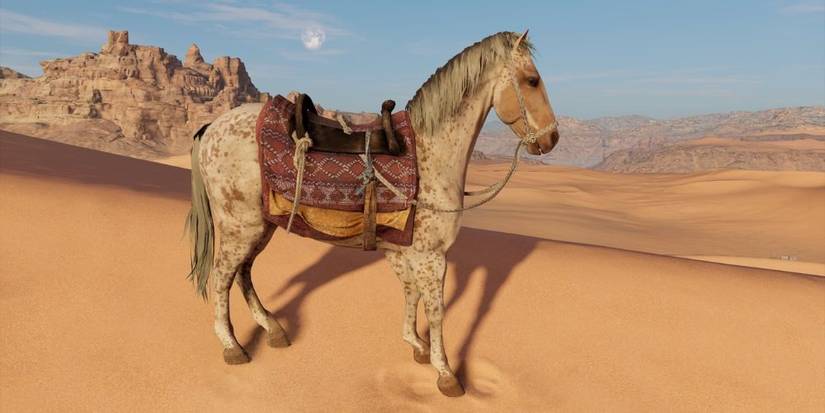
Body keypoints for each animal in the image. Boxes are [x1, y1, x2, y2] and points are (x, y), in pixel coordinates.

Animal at [186, 30, 559, 397]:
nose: (552, 138)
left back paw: (273, 329)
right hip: (239, 226)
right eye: (532, 80)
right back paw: (233, 346)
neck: (431, 150)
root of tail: (211, 128)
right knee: (222, 277)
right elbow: (436, 310)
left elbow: (410, 292)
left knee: (244, 273)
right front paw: (445, 373)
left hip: (261, 226)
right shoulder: (432, 255)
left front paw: (416, 345)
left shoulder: (403, 250)